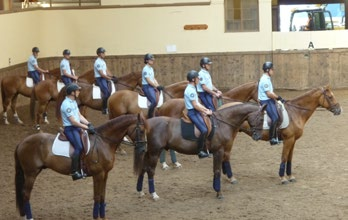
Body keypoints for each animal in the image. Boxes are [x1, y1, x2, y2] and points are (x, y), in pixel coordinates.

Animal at [14, 113, 147, 220]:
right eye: (141, 131)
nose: (143, 149)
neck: (103, 142)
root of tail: (22, 142)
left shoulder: (105, 174)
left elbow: (102, 196)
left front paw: (103, 217)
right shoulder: (98, 174)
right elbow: (97, 196)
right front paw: (96, 217)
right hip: (31, 174)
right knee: (25, 194)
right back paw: (29, 217)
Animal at [133, 102, 266, 199]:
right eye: (261, 119)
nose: (258, 136)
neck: (222, 123)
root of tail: (147, 123)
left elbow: (217, 170)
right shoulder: (219, 151)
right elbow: (217, 171)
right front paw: (219, 193)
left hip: (149, 152)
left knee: (143, 168)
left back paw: (140, 191)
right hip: (155, 152)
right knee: (150, 171)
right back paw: (154, 194)